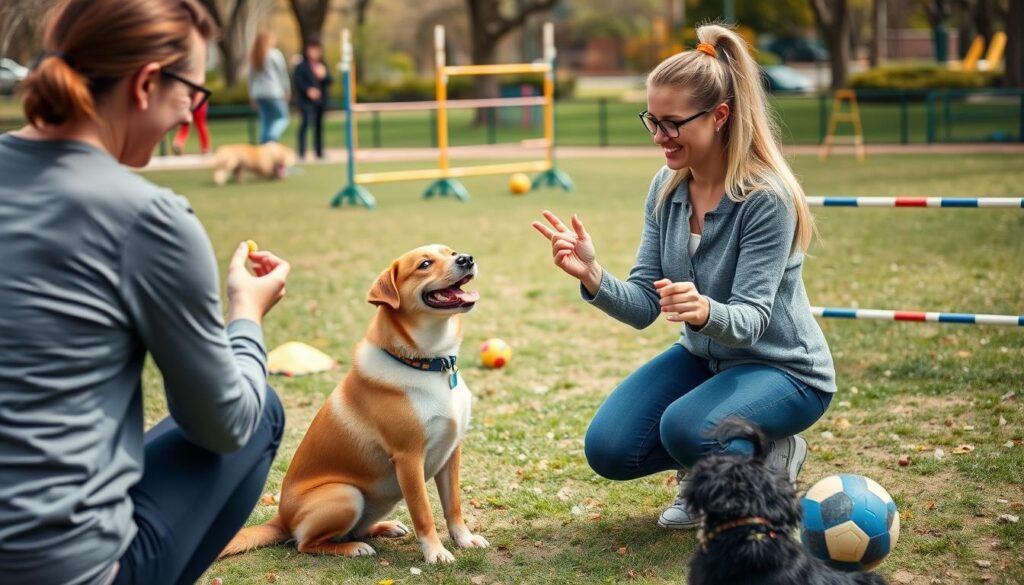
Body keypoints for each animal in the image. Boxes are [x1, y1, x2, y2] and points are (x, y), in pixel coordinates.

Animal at [220, 244, 483, 565]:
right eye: (424, 264)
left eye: (452, 252)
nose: (467, 259)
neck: (430, 364)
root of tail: (281, 518)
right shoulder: (408, 458)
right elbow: (423, 513)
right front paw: (435, 552)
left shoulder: (451, 451)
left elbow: (453, 506)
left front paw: (464, 539)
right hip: (346, 494)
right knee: (306, 543)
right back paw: (353, 548)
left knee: (353, 530)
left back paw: (384, 527)